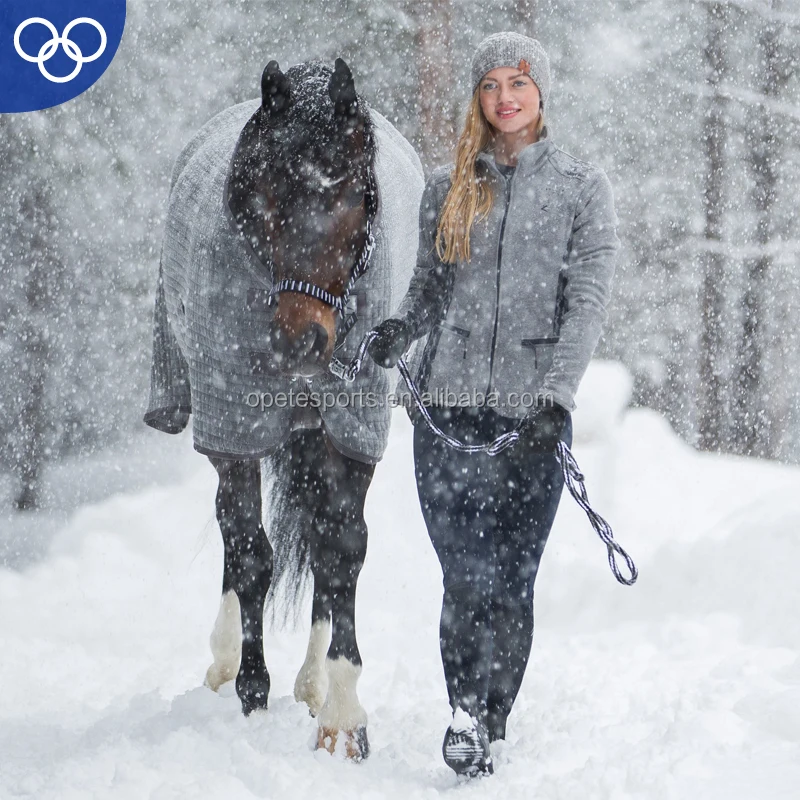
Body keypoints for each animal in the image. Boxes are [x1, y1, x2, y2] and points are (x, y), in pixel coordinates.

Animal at [144, 59, 423, 760]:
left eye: (352, 201)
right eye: (265, 199)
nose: (298, 342)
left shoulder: (352, 426)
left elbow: (341, 553)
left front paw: (343, 719)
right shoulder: (234, 426)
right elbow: (250, 554)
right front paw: (251, 690)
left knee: (319, 542)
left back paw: (311, 684)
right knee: (234, 536)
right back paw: (223, 665)